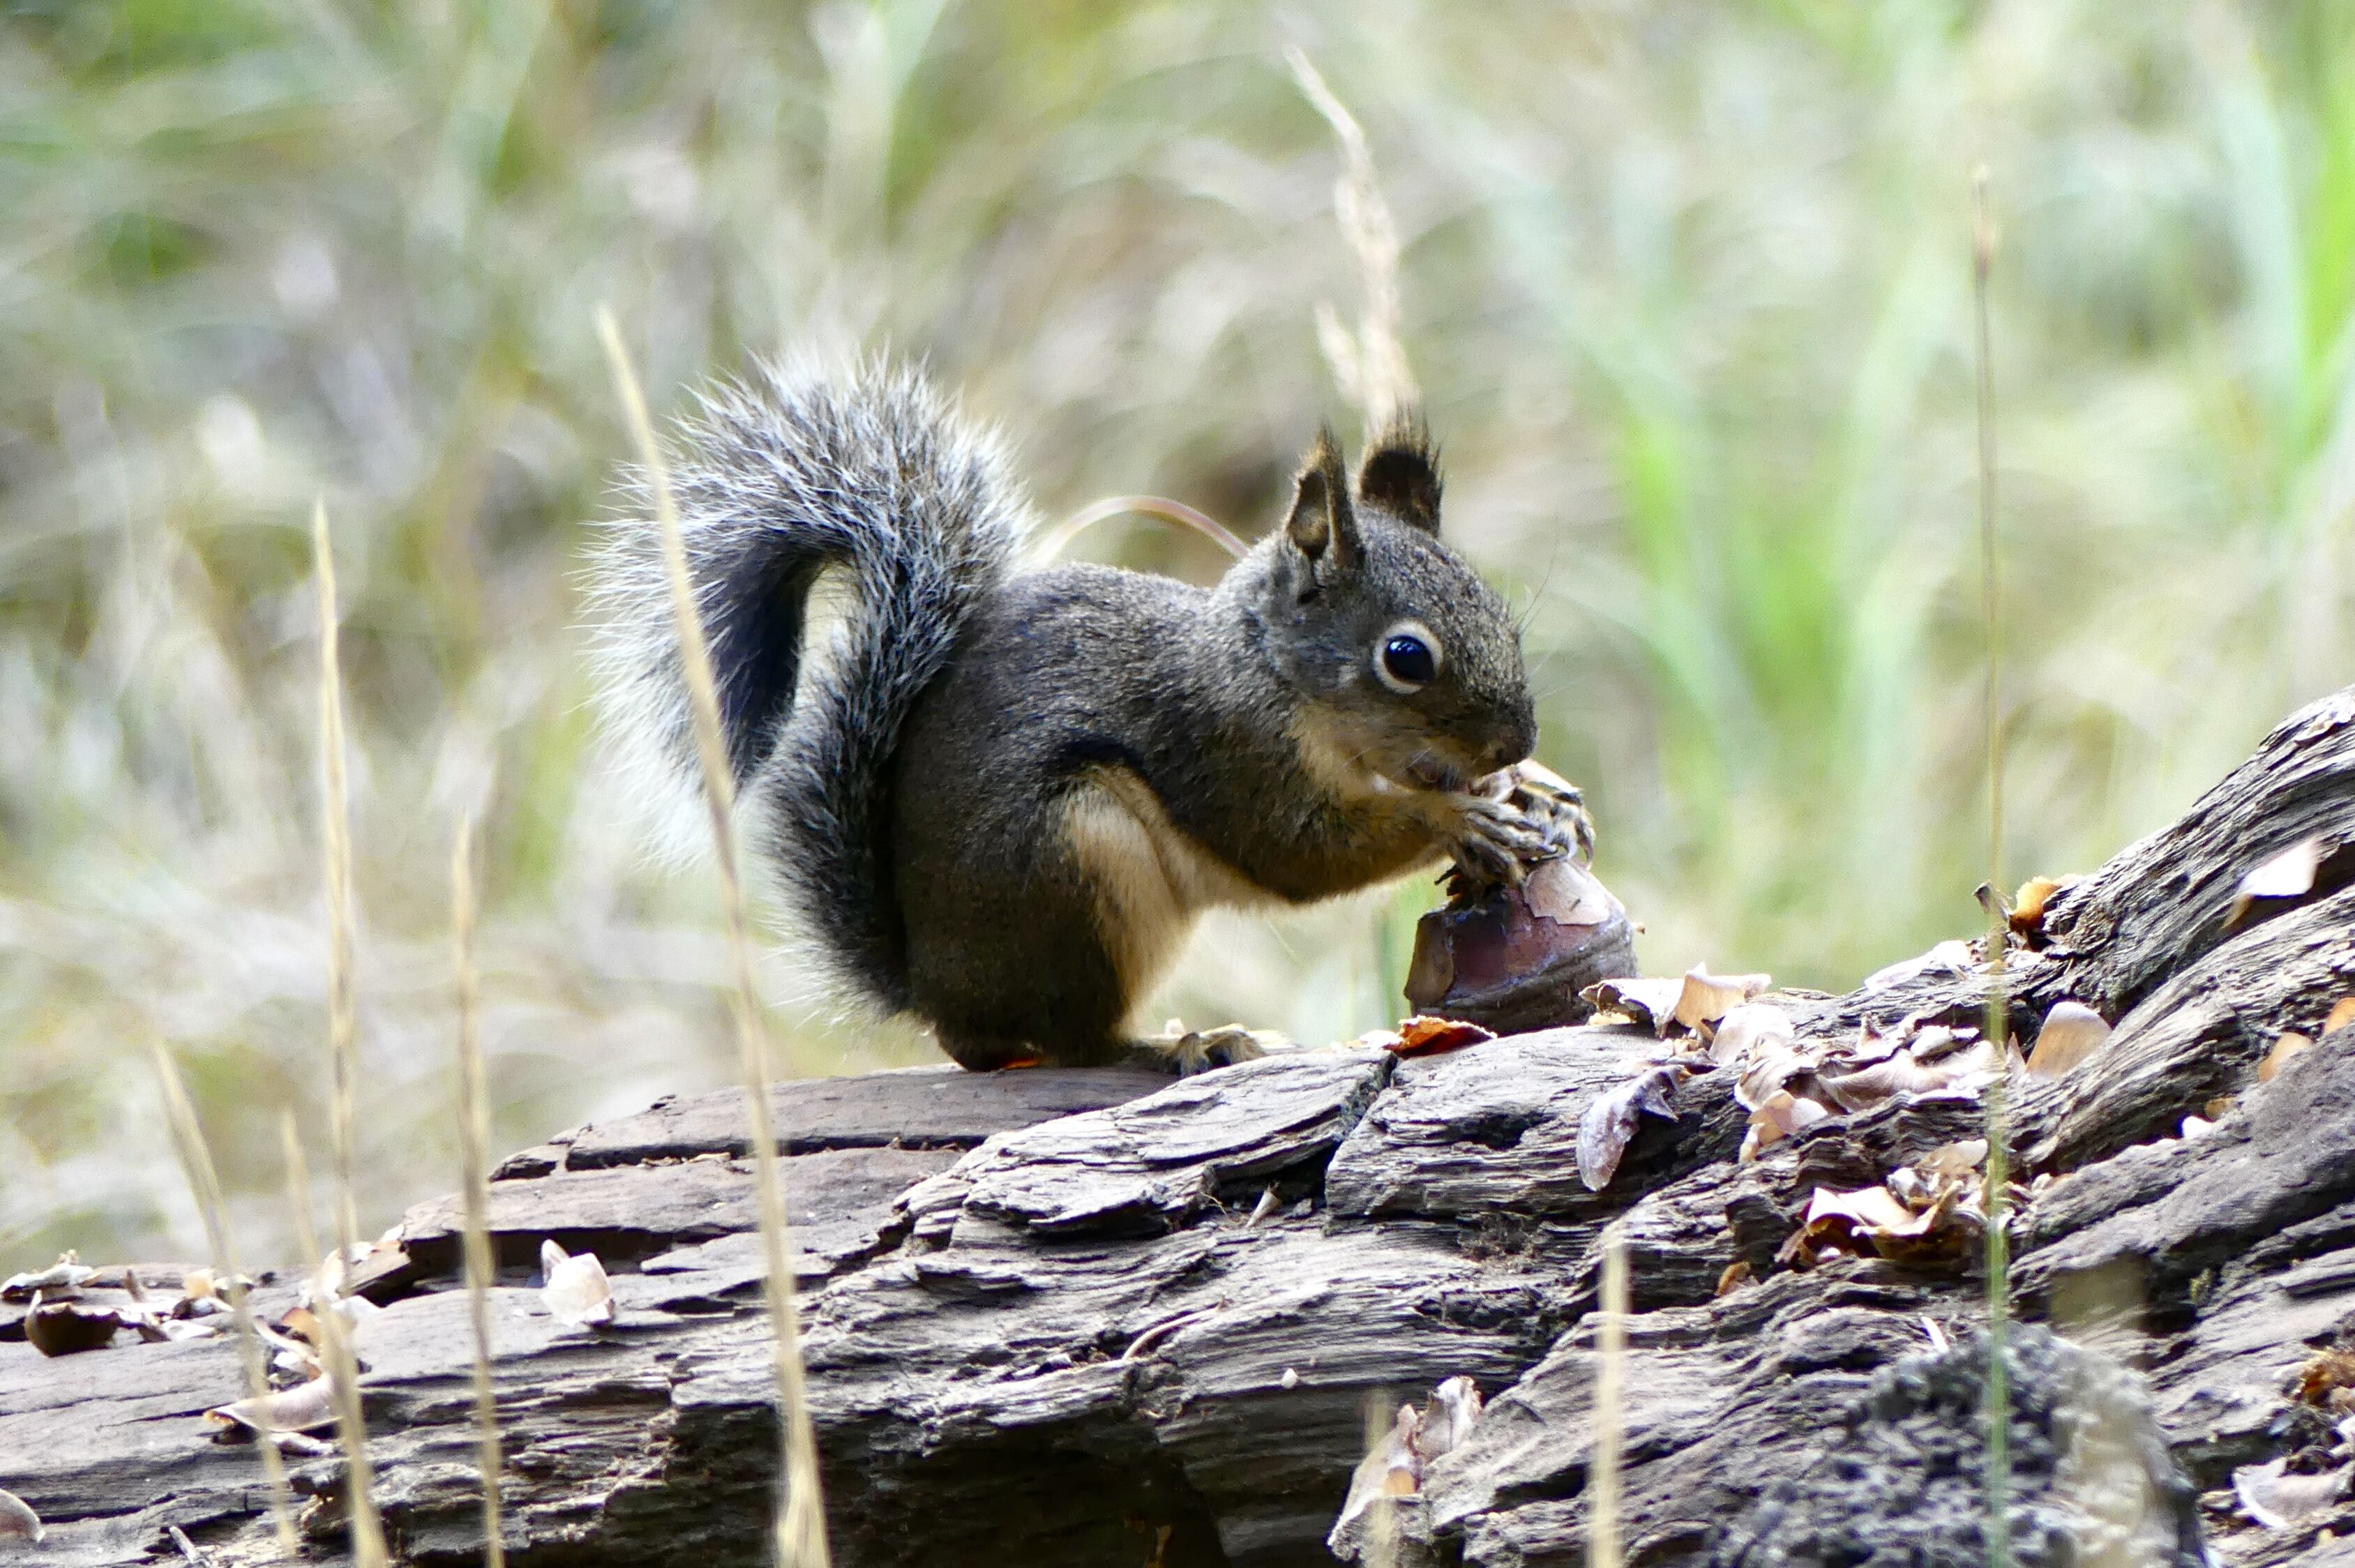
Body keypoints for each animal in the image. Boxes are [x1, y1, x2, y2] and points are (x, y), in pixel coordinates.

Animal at [593, 362, 1563, 1073]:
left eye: (1501, 617)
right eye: (1405, 657)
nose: (1518, 738)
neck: (1268, 669)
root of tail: (933, 987)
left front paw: (1539, 791)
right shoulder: (1227, 745)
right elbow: (1301, 851)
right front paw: (1455, 817)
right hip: (1078, 859)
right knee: (1073, 1041)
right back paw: (1179, 1043)